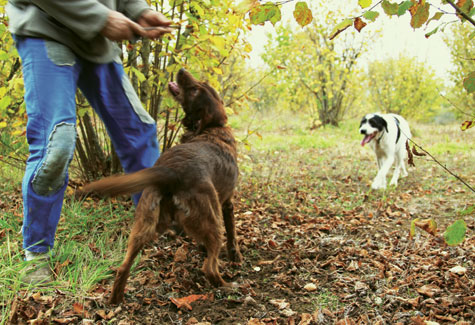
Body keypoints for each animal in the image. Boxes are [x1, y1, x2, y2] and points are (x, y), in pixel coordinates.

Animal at [81, 68, 242, 304]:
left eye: (196, 89)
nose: (182, 70)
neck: (212, 128)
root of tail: (171, 172)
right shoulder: (227, 203)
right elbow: (232, 234)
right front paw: (235, 256)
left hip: (143, 227)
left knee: (123, 268)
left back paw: (116, 300)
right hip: (212, 222)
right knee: (209, 268)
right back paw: (229, 286)